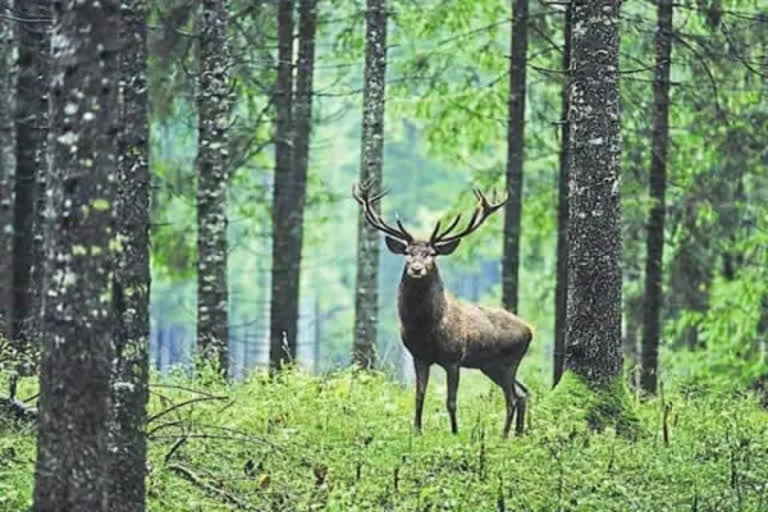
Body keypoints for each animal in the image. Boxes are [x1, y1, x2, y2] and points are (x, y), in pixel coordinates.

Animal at [354, 178, 536, 438]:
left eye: (431, 254)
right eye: (408, 253)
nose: (416, 268)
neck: (426, 327)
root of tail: (530, 330)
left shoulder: (453, 358)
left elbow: (451, 401)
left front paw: (455, 432)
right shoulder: (418, 356)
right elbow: (419, 396)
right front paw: (417, 431)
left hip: (509, 361)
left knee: (512, 397)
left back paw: (504, 435)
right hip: (490, 365)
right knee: (522, 392)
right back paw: (518, 434)